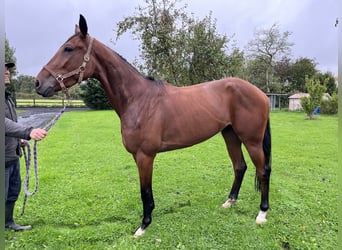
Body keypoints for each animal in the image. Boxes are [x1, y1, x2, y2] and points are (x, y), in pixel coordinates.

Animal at [34, 14, 270, 237]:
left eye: (68, 48)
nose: (38, 83)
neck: (138, 99)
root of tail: (260, 93)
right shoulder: (137, 156)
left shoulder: (145, 155)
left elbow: (145, 191)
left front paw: (143, 226)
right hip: (230, 134)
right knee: (240, 166)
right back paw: (229, 202)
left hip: (252, 140)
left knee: (262, 170)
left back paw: (262, 213)